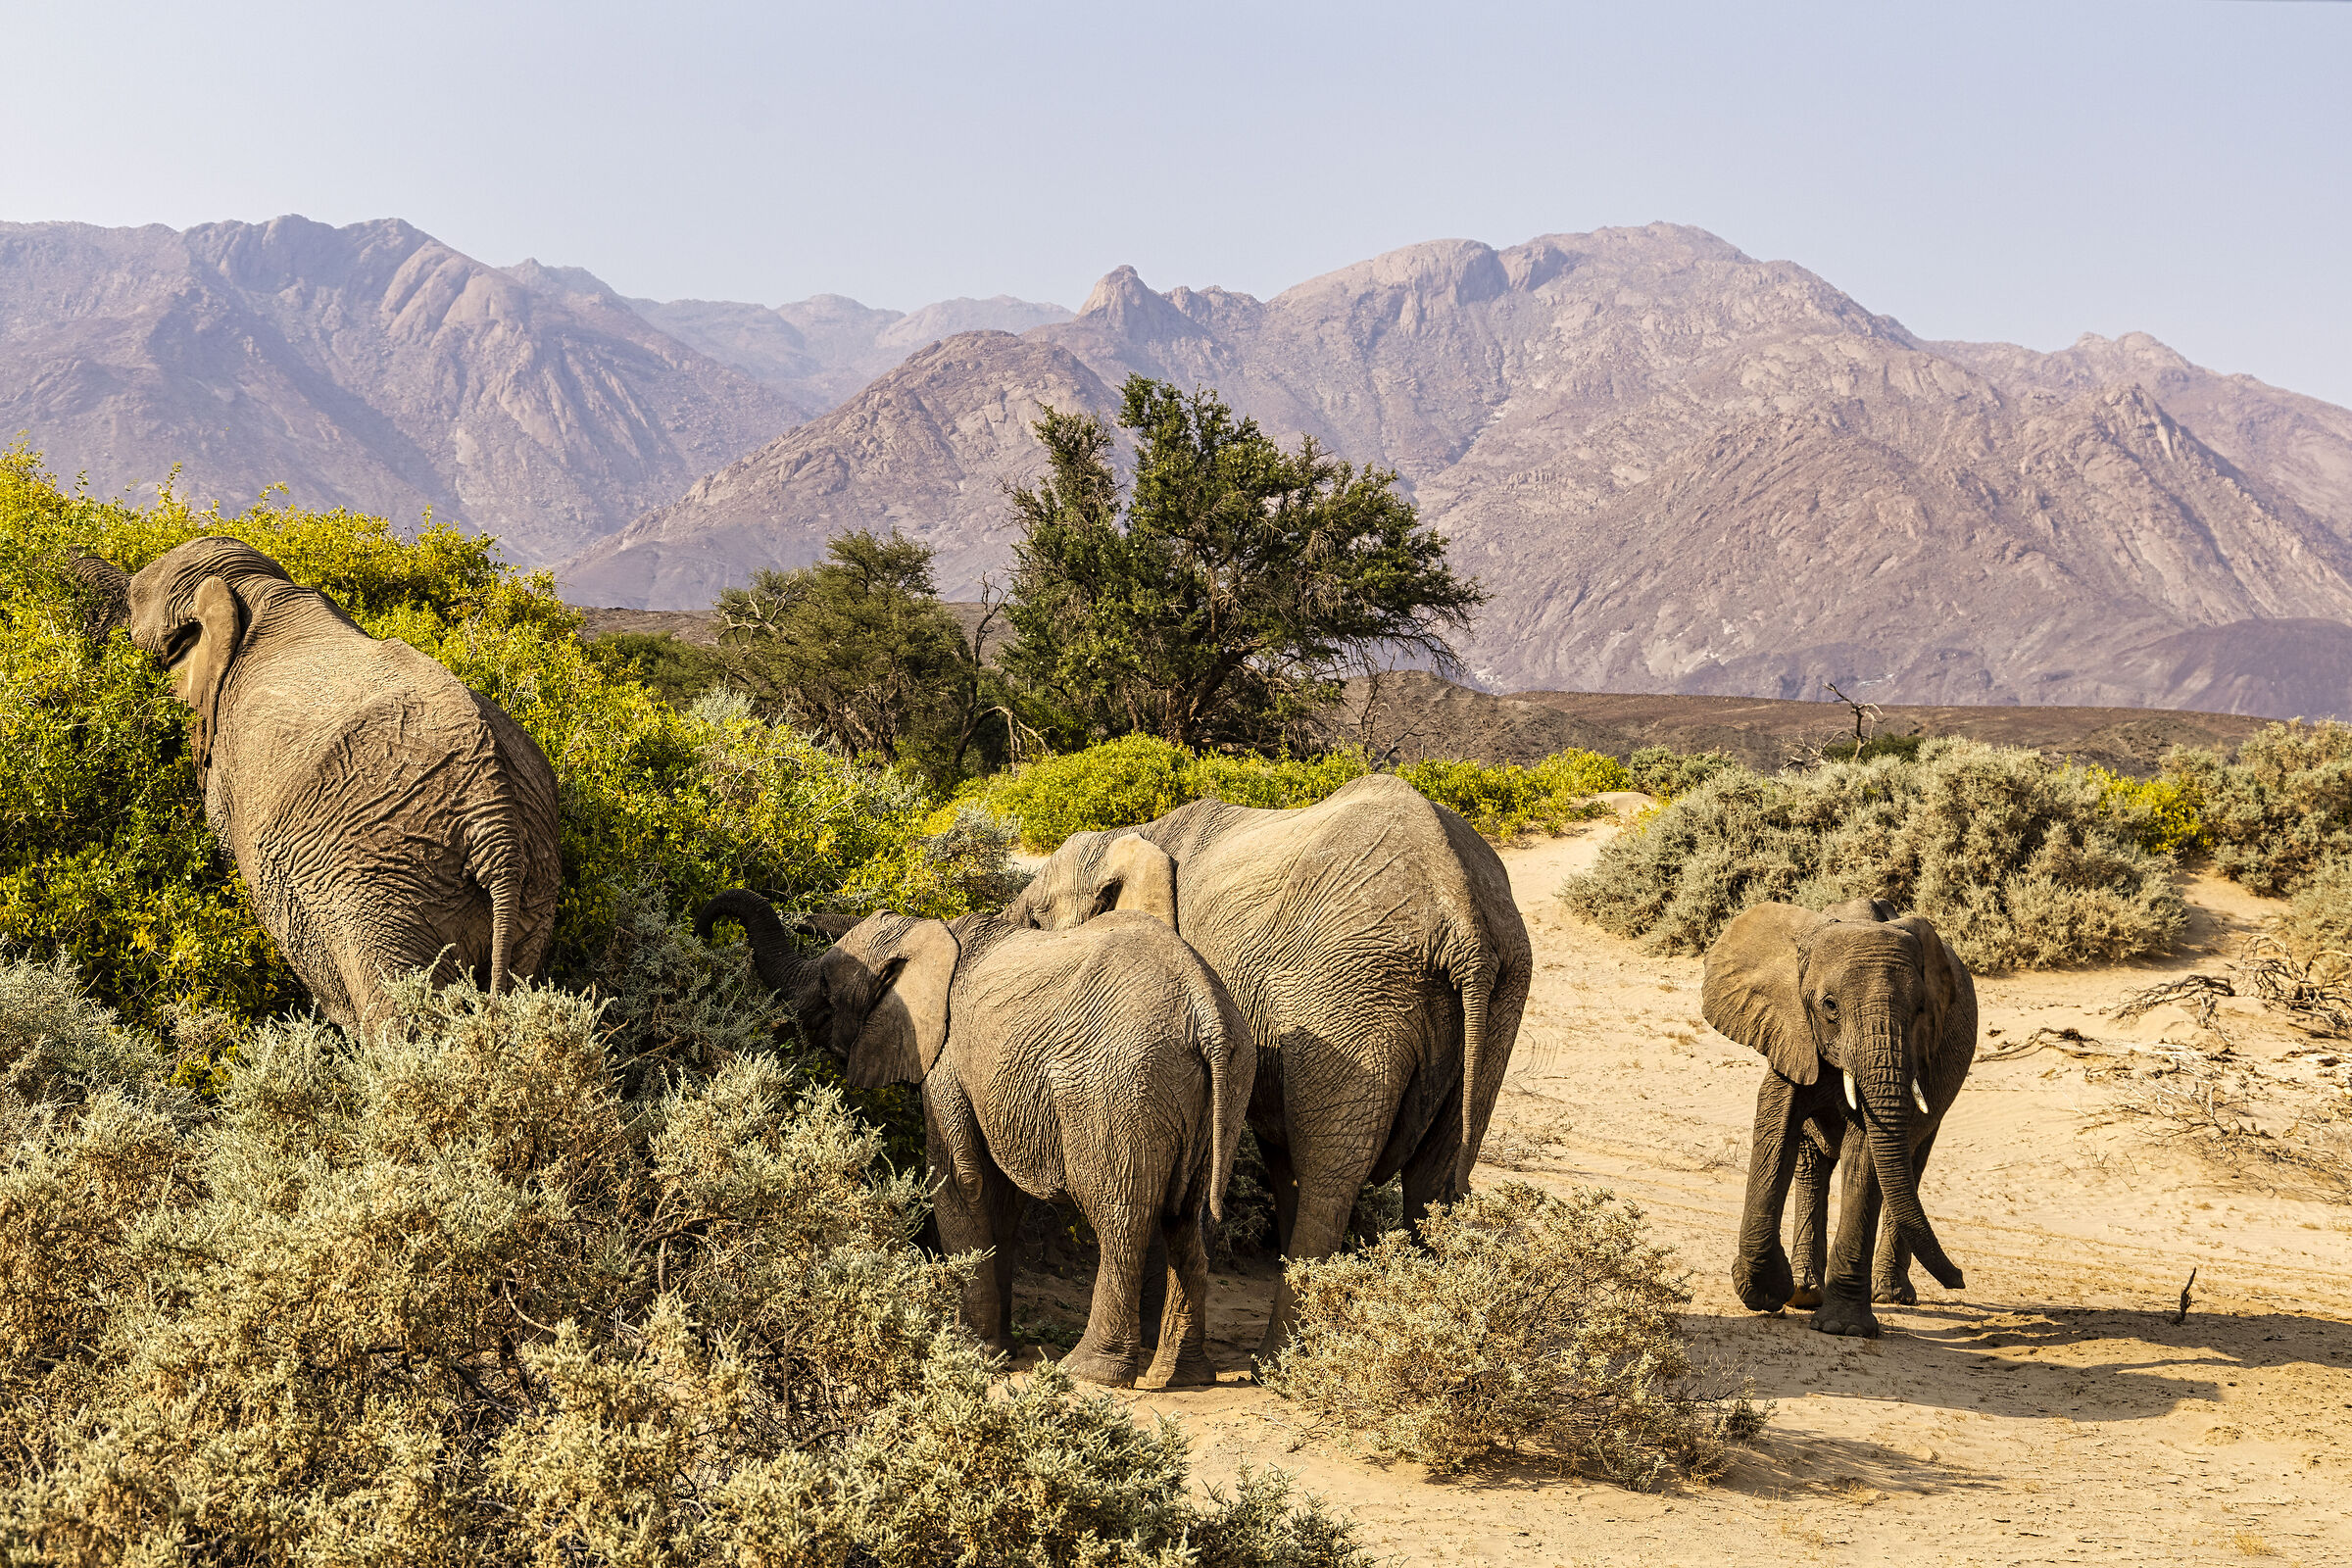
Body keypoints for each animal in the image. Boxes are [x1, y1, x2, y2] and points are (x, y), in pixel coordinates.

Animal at [73, 539, 561, 1028]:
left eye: (133, 606)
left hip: (383, 894)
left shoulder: (223, 772)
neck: (250, 587)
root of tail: (495, 826)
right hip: (532, 896)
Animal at [700, 892, 1254, 1389]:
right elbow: (1000, 1197)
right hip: (1221, 1094)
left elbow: (959, 1180)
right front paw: (1000, 1347)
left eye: (826, 986)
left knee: (1121, 1219)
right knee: (1186, 1221)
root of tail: (1207, 1010)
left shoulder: (944, 1058)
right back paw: (1181, 1376)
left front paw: (970, 1352)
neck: (923, 930)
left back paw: (1088, 1373)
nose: (703, 935)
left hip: (1120, 1090)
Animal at [1003, 771, 1532, 1358]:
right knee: (1435, 1178)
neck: (1129, 837)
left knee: (1331, 1181)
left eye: (1037, 919)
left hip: (1353, 994)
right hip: (1499, 996)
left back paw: (1279, 1361)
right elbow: (1278, 1157)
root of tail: (1462, 914)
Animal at [1703, 896, 1977, 1338]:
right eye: (1829, 1007)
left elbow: (1865, 1153)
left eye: (1921, 1010)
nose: (1960, 1278)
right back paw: (1804, 1293)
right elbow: (1776, 1125)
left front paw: (1843, 1328)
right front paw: (1770, 1291)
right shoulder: (1791, 1029)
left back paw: (1889, 1295)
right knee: (1812, 1166)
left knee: (1909, 1166)